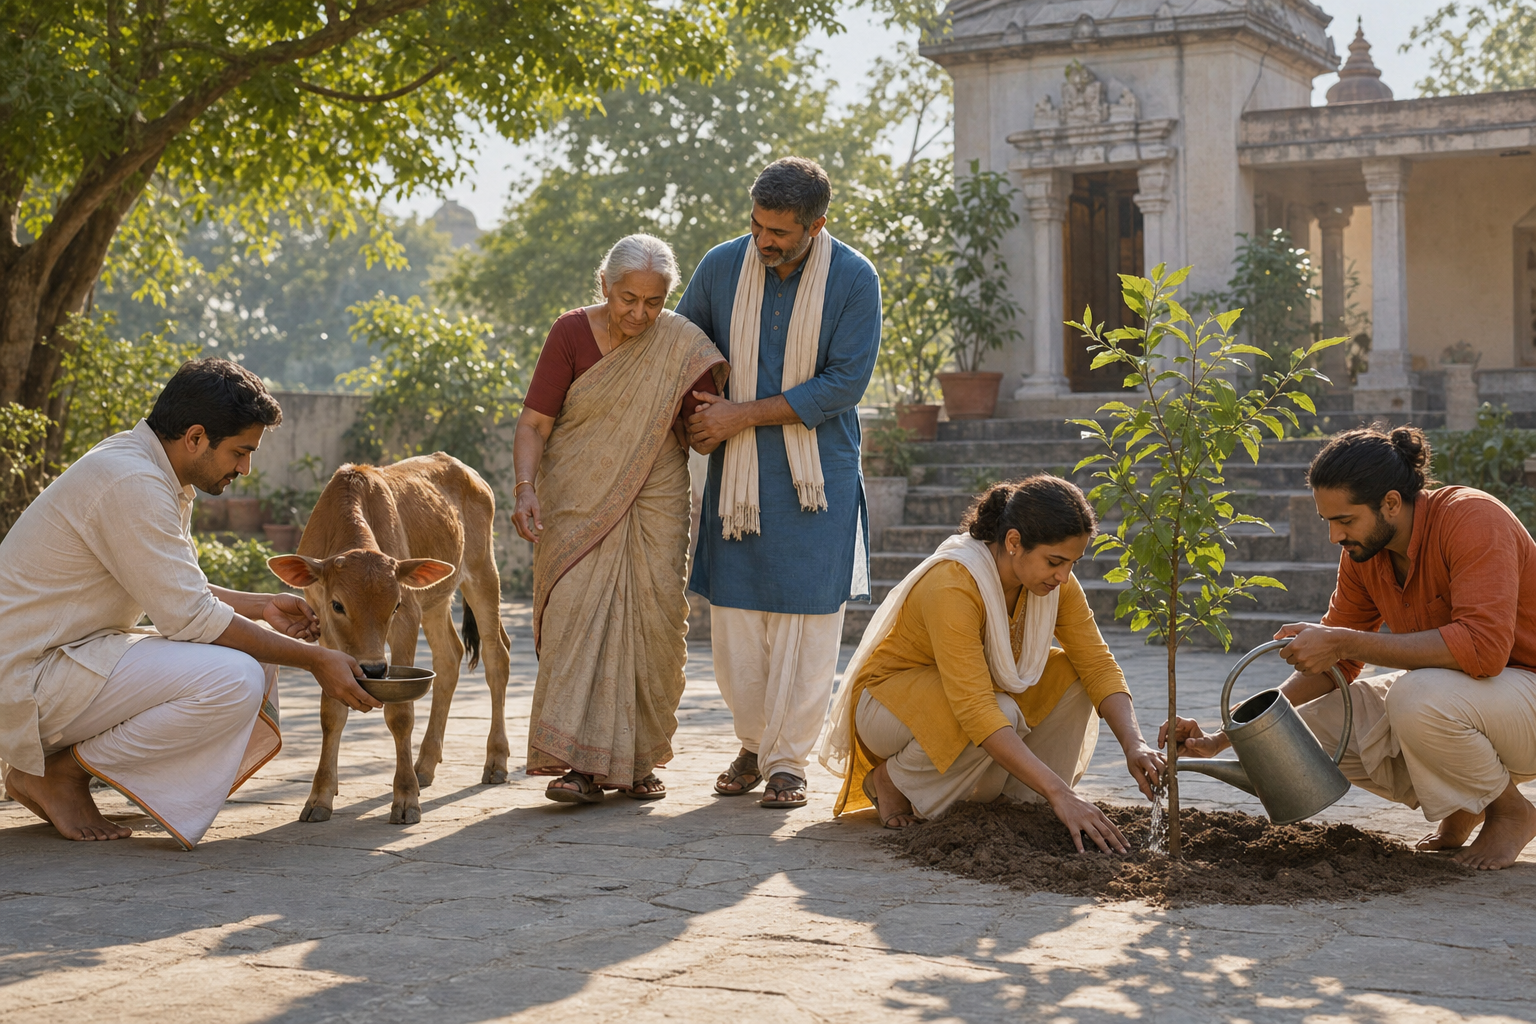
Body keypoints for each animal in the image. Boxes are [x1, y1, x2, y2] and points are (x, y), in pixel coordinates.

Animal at [268, 453, 512, 825]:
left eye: (394, 604)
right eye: (337, 604)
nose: (372, 670)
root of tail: (467, 470)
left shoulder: (407, 617)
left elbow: (400, 715)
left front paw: (406, 799)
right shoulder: (325, 628)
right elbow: (331, 713)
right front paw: (320, 797)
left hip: (482, 569)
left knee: (496, 658)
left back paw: (495, 760)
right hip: (436, 599)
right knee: (450, 657)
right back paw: (425, 764)